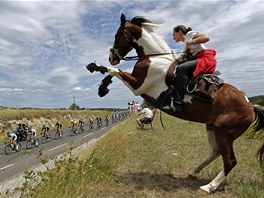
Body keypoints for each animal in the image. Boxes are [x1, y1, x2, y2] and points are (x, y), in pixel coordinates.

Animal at [85, 13, 262, 193]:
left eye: (117, 35)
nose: (112, 57)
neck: (153, 58)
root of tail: (250, 106)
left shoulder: (138, 85)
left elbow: (115, 71)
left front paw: (95, 67)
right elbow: (114, 73)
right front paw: (103, 87)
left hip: (224, 133)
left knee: (230, 161)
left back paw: (208, 187)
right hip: (212, 127)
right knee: (215, 152)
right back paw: (193, 171)